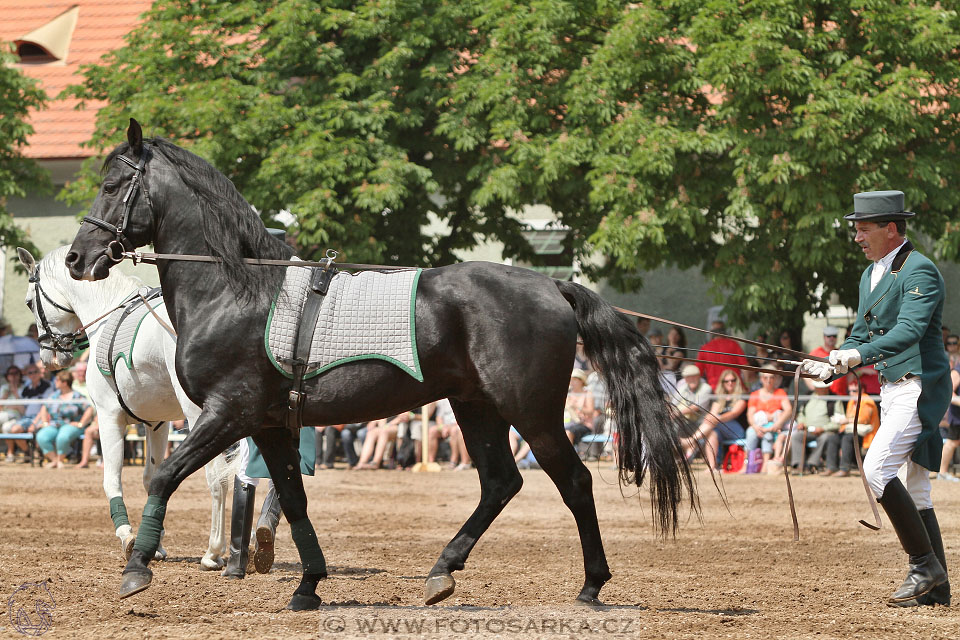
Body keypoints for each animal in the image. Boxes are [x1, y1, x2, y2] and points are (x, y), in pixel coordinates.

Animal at [19, 245, 232, 568]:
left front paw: (128, 537)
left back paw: (214, 552)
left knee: (217, 478)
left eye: (30, 302)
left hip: (204, 418)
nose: (49, 358)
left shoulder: (109, 417)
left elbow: (111, 480)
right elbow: (151, 477)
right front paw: (155, 543)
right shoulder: (158, 423)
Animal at [67, 119, 696, 608]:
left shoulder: (229, 411)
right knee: (500, 483)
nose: (77, 258)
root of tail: (551, 285)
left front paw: (137, 568)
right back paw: (442, 572)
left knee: (573, 481)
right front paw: (309, 585)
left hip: (531, 411)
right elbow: (291, 497)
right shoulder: (268, 422)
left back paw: (590, 585)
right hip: (476, 407)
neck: (234, 290)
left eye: (113, 185)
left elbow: (164, 475)